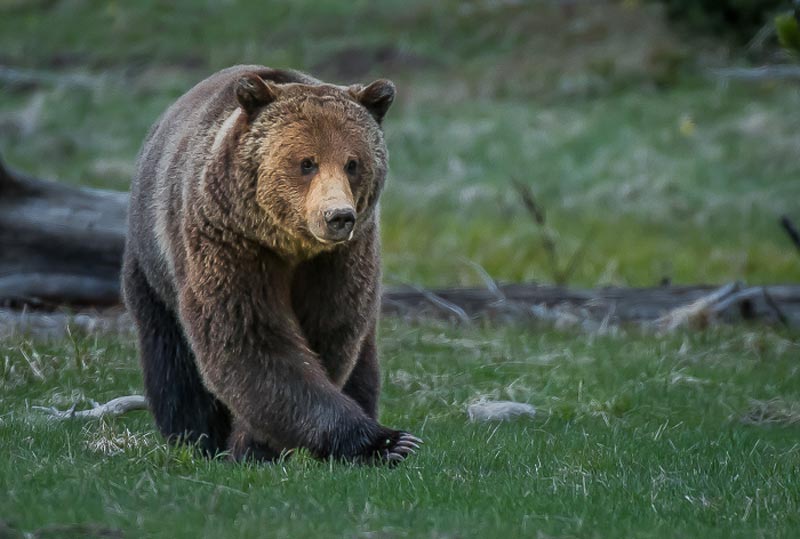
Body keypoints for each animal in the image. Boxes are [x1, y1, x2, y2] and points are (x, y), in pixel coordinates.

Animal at [122, 64, 422, 464]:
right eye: (307, 162)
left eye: (353, 163)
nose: (338, 217)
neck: (291, 246)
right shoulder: (229, 239)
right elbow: (251, 337)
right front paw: (382, 441)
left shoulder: (340, 259)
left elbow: (326, 335)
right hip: (152, 265)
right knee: (171, 358)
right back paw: (196, 438)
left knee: (364, 360)